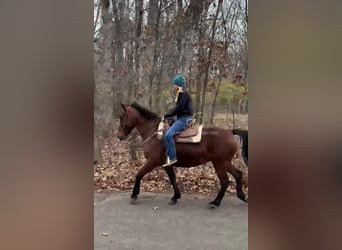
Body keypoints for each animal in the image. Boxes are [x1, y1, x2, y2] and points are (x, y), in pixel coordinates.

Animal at [116, 101, 247, 207]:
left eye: (122, 117)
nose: (119, 136)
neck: (154, 132)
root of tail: (230, 132)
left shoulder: (152, 161)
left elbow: (139, 174)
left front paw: (134, 195)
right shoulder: (166, 164)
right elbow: (172, 178)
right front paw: (175, 197)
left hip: (219, 163)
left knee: (225, 181)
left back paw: (216, 202)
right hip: (225, 162)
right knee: (238, 175)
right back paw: (241, 196)